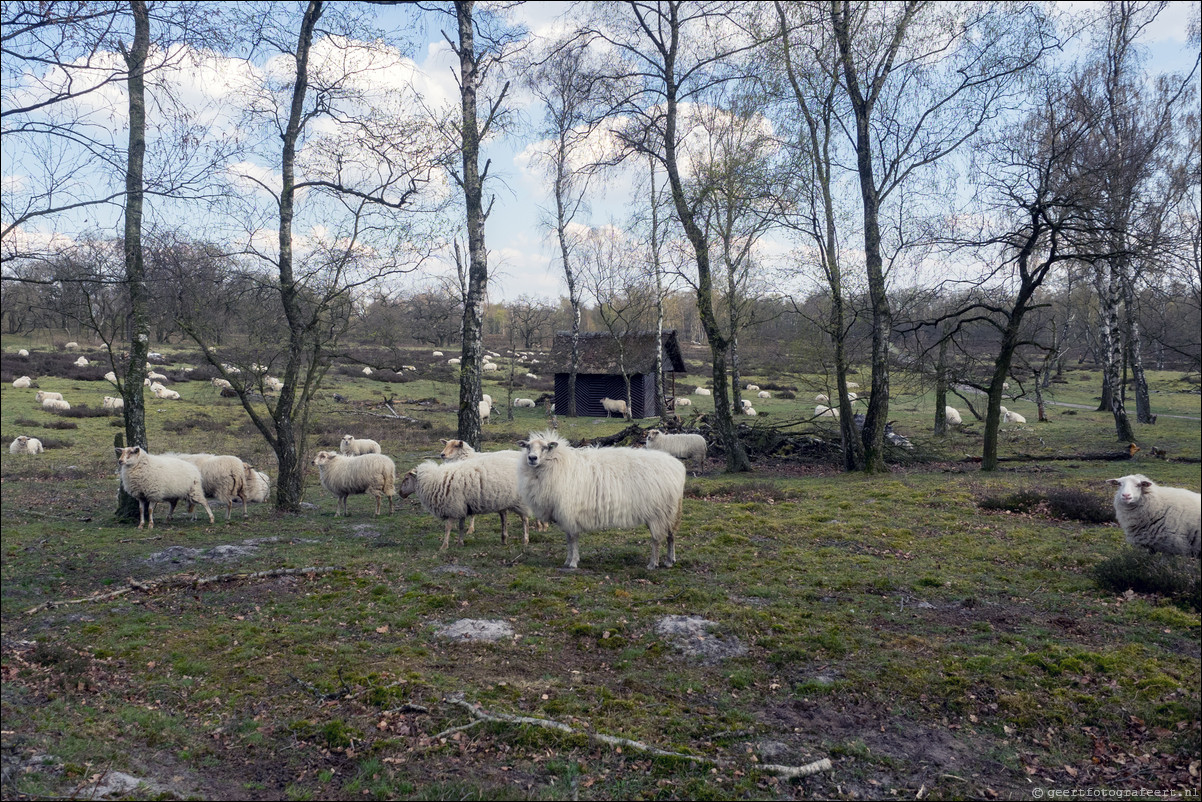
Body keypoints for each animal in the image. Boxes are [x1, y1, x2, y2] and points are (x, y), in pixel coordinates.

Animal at [514, 430, 687, 567]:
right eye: (527, 446)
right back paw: (670, 561)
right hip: (671, 511)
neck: (557, 464)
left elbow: (573, 539)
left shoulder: (569, 513)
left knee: (657, 539)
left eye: (545, 448)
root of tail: (677, 466)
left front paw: (573, 562)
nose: (532, 458)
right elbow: (568, 540)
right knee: (671, 536)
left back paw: (653, 563)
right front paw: (568, 560)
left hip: (658, 513)